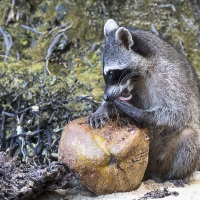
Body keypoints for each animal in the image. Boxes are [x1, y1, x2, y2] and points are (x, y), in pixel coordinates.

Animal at [88, 18, 200, 183]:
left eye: (112, 73)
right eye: (105, 74)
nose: (106, 97)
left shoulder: (171, 78)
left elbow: (179, 113)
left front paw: (138, 113)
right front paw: (105, 108)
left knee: (191, 135)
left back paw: (175, 175)